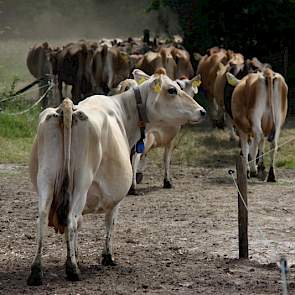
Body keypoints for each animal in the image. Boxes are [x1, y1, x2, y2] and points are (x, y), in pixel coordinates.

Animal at [28, 68, 208, 286]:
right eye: (172, 90)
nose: (202, 111)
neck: (124, 112)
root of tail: (67, 107)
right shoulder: (115, 198)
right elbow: (109, 223)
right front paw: (107, 257)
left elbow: (79, 227)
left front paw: (76, 255)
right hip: (80, 182)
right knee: (71, 218)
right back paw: (72, 270)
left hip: (45, 179)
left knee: (43, 218)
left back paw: (37, 271)